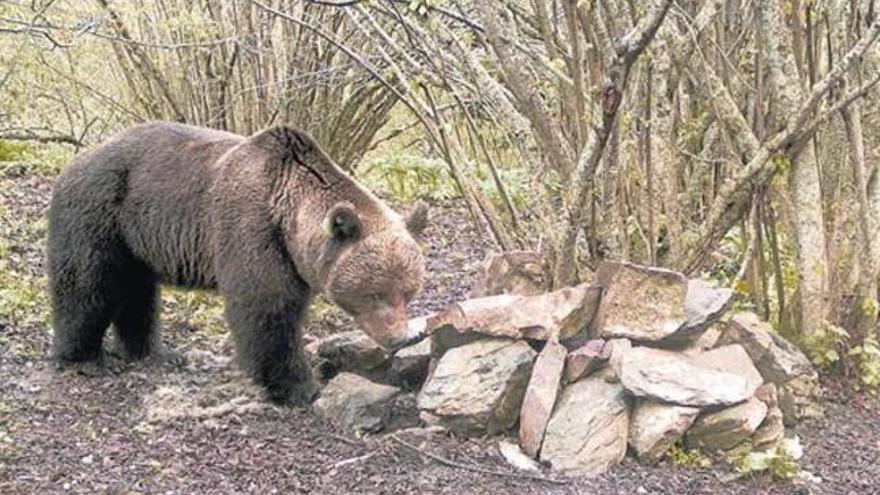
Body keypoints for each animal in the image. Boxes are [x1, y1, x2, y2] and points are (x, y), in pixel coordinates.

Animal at [48, 122, 426, 404]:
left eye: (409, 292)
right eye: (375, 293)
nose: (398, 337)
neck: (289, 220)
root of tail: (76, 160)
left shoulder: (292, 261)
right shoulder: (252, 230)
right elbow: (266, 308)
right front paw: (299, 387)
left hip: (137, 237)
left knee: (138, 292)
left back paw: (155, 351)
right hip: (101, 214)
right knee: (89, 284)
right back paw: (85, 359)